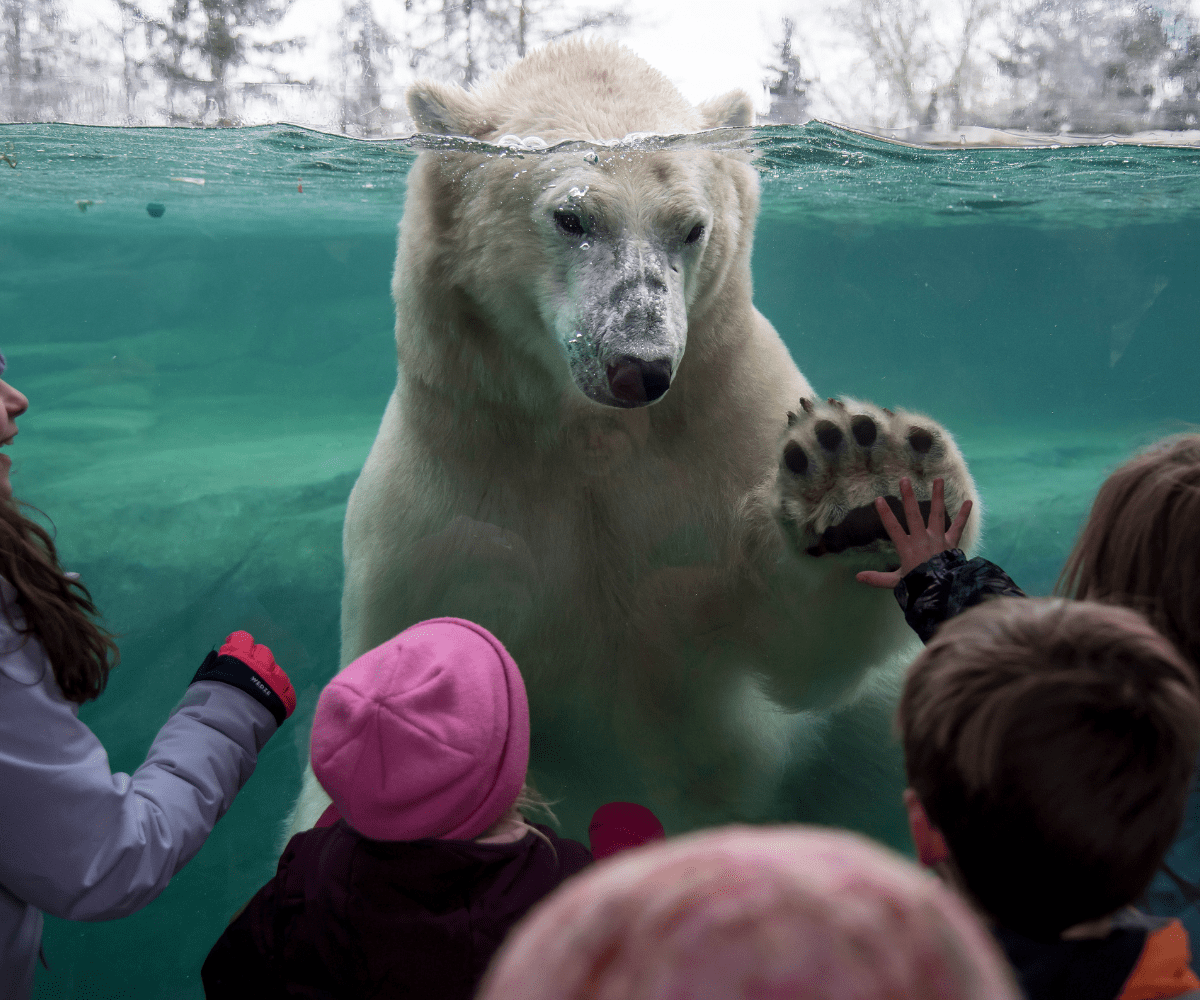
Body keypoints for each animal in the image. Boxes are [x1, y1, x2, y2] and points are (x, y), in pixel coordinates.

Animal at [285, 37, 979, 835]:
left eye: (692, 227)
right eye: (571, 217)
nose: (639, 367)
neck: (592, 439)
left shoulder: (722, 434)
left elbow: (797, 654)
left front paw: (864, 482)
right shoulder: (447, 508)